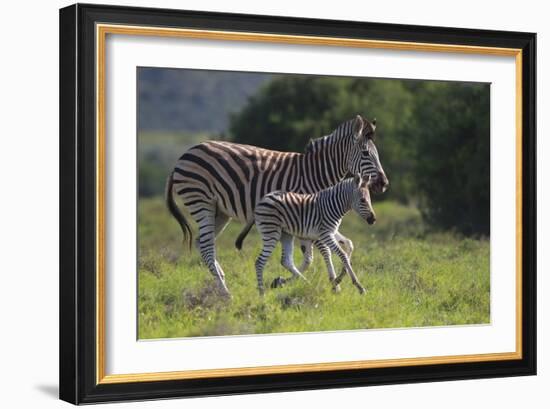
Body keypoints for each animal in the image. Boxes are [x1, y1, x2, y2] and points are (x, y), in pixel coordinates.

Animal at [166, 115, 390, 296]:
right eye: (365, 153)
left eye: (376, 153)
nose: (384, 184)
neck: (315, 173)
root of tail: (184, 155)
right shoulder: (309, 218)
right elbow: (317, 255)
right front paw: (334, 284)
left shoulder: (314, 220)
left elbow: (345, 246)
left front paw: (334, 279)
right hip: (201, 202)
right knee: (205, 245)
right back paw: (225, 292)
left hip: (219, 212)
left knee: (203, 243)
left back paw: (220, 280)